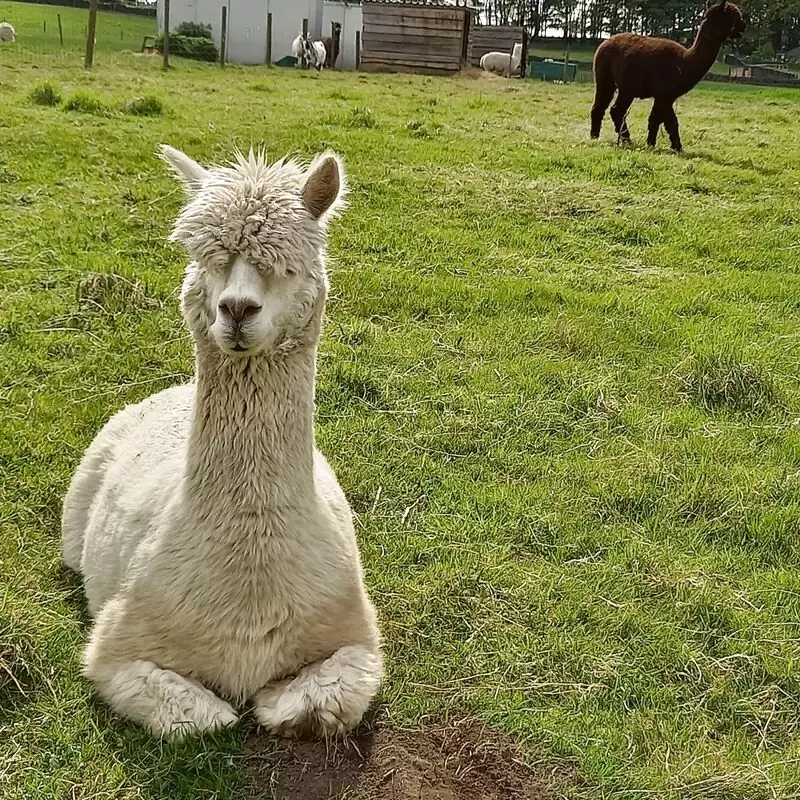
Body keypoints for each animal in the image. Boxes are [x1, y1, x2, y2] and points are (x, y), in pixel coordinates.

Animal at [62, 147, 384, 740]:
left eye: (288, 265)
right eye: (206, 258)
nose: (236, 310)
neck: (249, 591)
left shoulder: (358, 639)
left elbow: (313, 707)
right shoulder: (116, 648)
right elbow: (200, 717)